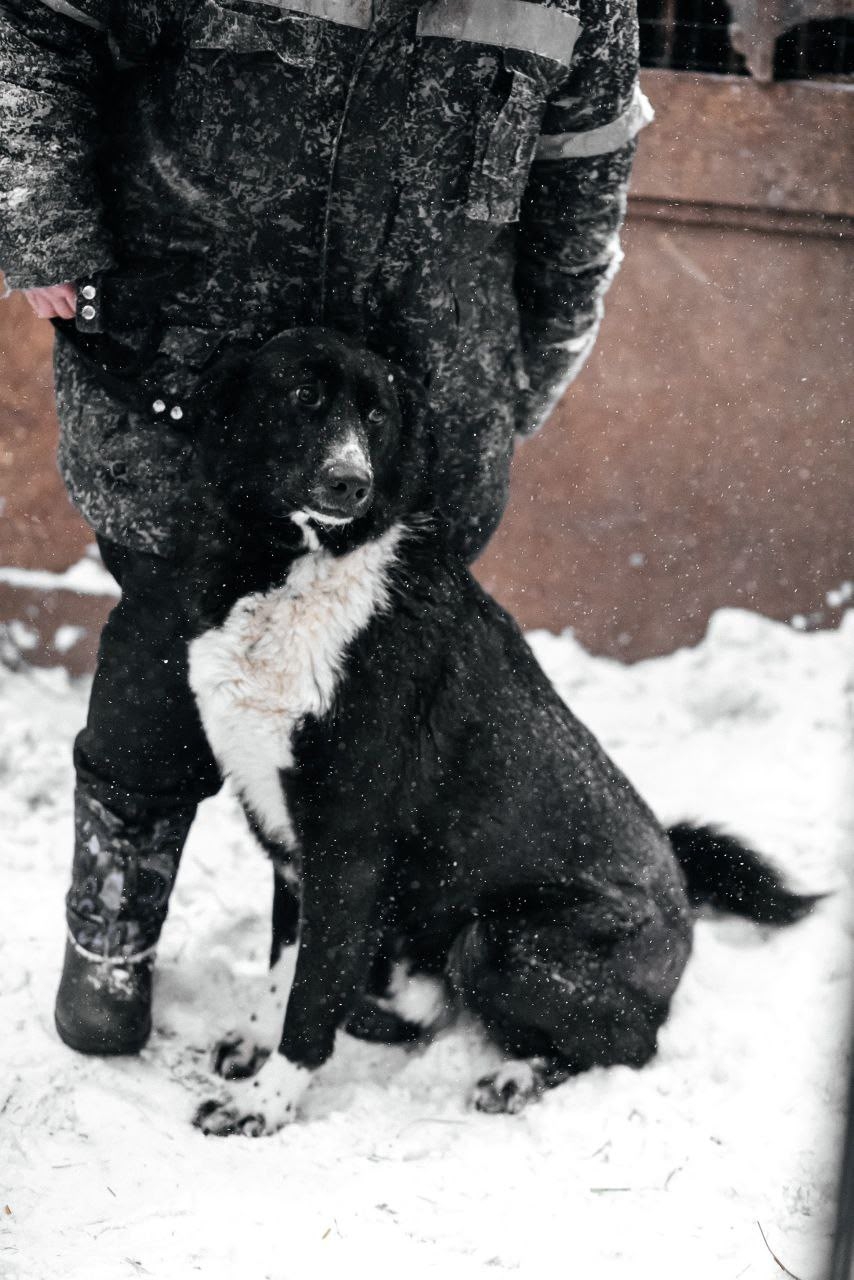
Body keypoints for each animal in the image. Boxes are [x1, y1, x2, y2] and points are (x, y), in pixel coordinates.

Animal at [181, 328, 816, 1136]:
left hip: (500, 942)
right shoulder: (290, 845)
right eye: (304, 395)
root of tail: (680, 902)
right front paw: (254, 1046)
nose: (350, 483)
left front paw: (266, 1102)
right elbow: (283, 969)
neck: (292, 571)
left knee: (632, 1043)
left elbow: (312, 996)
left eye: (378, 414)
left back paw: (517, 1075)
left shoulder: (348, 851)